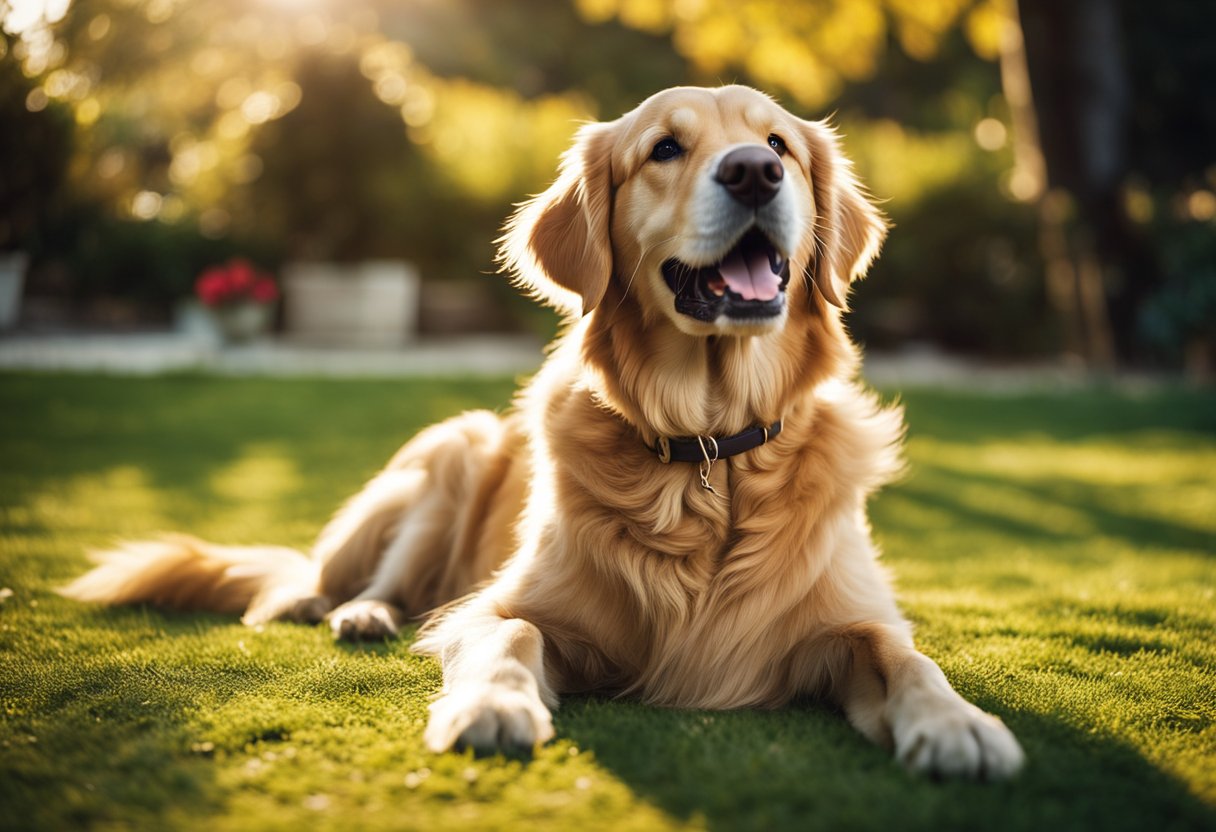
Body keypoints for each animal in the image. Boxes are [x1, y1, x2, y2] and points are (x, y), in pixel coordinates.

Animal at [61, 84, 1021, 778]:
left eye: (778, 144)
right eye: (665, 149)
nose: (753, 172)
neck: (708, 452)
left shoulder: (851, 619)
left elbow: (907, 657)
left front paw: (960, 725)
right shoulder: (498, 605)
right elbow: (509, 635)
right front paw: (492, 707)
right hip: (449, 456)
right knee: (348, 579)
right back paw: (352, 609)